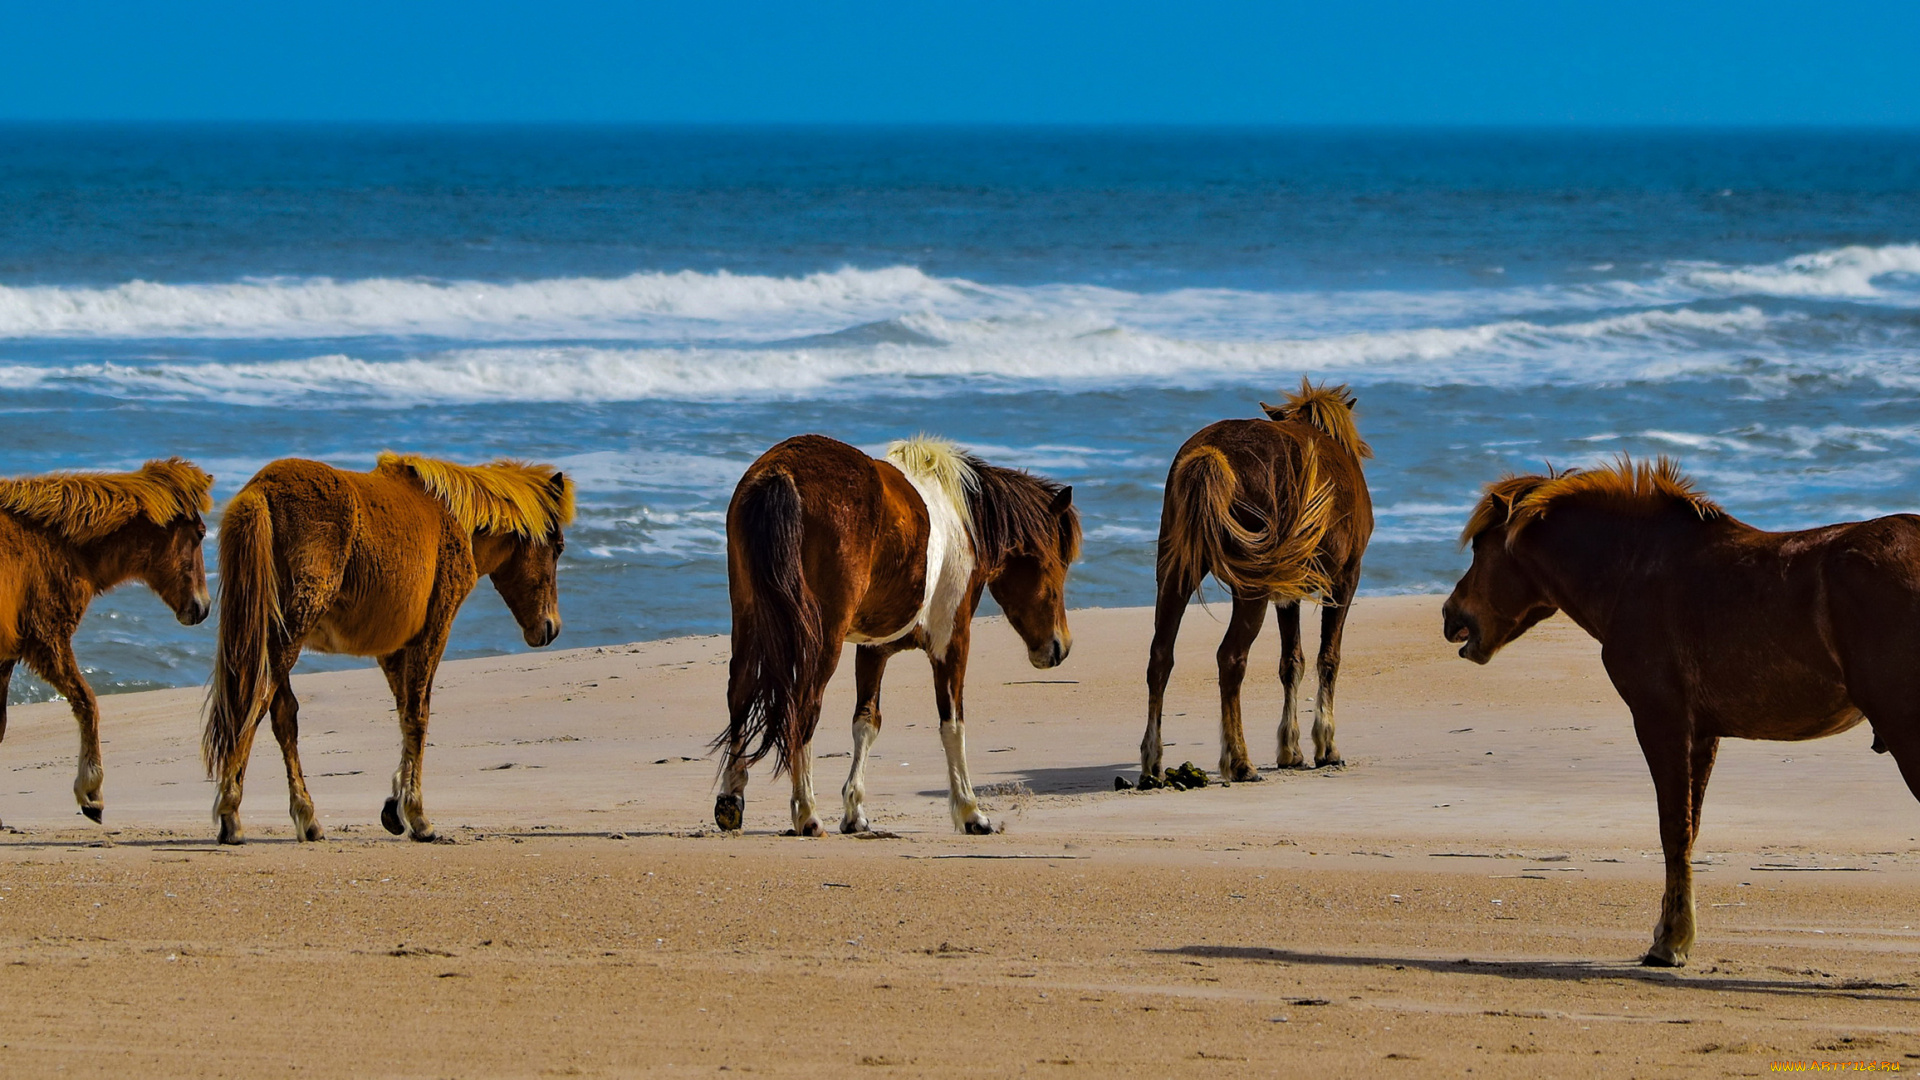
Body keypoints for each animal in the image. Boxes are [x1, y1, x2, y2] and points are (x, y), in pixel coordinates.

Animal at [0, 457, 214, 818]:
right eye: (199, 535)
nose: (203, 607)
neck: (50, 543)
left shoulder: (8, 655)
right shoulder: (47, 639)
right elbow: (87, 702)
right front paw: (91, 791)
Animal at [209, 449, 572, 845]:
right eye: (557, 548)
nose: (551, 627)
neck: (452, 518)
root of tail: (262, 491)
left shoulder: (392, 649)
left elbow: (403, 712)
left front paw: (394, 805)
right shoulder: (433, 630)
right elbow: (418, 714)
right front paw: (417, 815)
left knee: (282, 716)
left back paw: (307, 817)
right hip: (288, 633)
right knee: (254, 705)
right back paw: (231, 814)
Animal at [721, 430, 1082, 834]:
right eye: (1057, 563)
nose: (1059, 647)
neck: (965, 521)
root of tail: (780, 474)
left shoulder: (873, 649)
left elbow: (866, 722)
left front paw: (855, 812)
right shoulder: (952, 640)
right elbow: (952, 723)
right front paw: (970, 811)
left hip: (749, 620)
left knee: (740, 693)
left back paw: (731, 800)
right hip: (822, 641)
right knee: (803, 706)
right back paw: (807, 812)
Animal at [1136, 378, 1367, 780]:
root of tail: (1211, 454)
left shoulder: (1288, 591)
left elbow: (1292, 662)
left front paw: (1291, 750)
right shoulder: (1345, 579)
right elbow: (1328, 657)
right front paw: (1326, 747)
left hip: (1175, 572)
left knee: (1160, 657)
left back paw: (1152, 763)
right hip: (1252, 586)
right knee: (1231, 658)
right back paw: (1240, 760)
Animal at [1443, 457, 1920, 960]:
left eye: (1480, 548)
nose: (1450, 615)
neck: (1633, 569)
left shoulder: (1661, 721)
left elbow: (1672, 828)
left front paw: (1671, 939)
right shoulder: (1703, 733)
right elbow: (1691, 827)